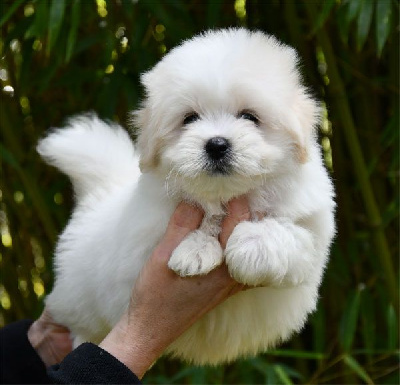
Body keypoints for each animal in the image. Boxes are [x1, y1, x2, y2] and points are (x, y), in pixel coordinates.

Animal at [38, 29, 334, 364]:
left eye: (249, 116)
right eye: (189, 119)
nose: (217, 144)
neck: (223, 195)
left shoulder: (312, 229)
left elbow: (288, 233)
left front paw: (251, 246)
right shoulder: (142, 240)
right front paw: (196, 250)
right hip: (80, 299)